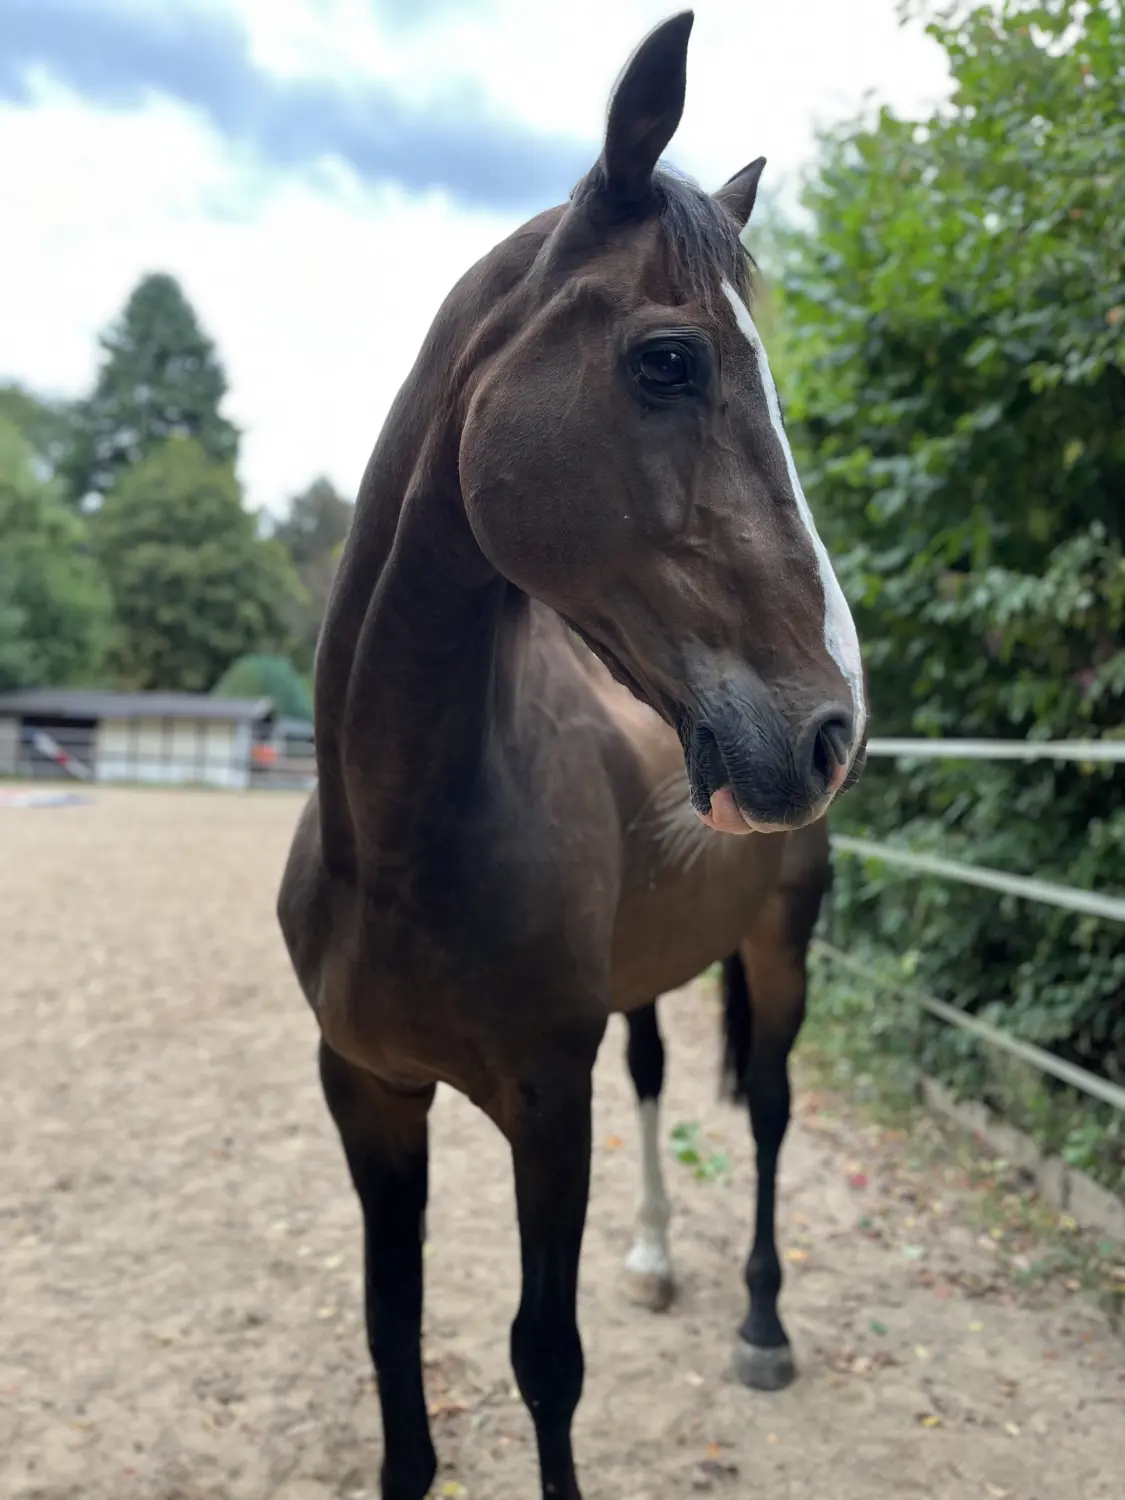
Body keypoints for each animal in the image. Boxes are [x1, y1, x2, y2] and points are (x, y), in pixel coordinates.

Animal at [277, 12, 866, 1498]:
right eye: (669, 360)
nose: (832, 727)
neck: (402, 844)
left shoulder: (545, 1104)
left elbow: (547, 1361)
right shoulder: (369, 1095)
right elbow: (391, 1335)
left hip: (781, 949)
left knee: (767, 1111)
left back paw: (762, 1325)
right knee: (660, 1079)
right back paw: (655, 1255)